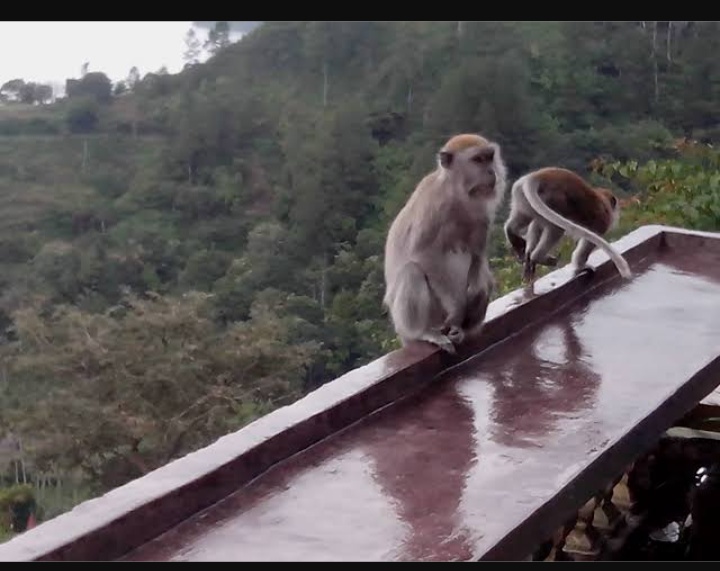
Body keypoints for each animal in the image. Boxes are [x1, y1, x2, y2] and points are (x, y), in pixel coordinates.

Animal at [382, 135, 506, 354]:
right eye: (477, 160)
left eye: (489, 157)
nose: (491, 172)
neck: (457, 196)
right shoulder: (433, 208)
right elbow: (423, 254)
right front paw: (457, 309)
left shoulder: (481, 215)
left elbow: (477, 255)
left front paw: (477, 291)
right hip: (423, 319)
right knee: (411, 272)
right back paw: (423, 332)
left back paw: (463, 328)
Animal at [504, 166, 632, 282]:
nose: (617, 214)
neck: (604, 201)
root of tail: (537, 176)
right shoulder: (602, 223)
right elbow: (587, 244)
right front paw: (581, 267)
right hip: (552, 200)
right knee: (556, 228)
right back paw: (536, 256)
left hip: (522, 197)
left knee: (530, 219)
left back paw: (518, 241)